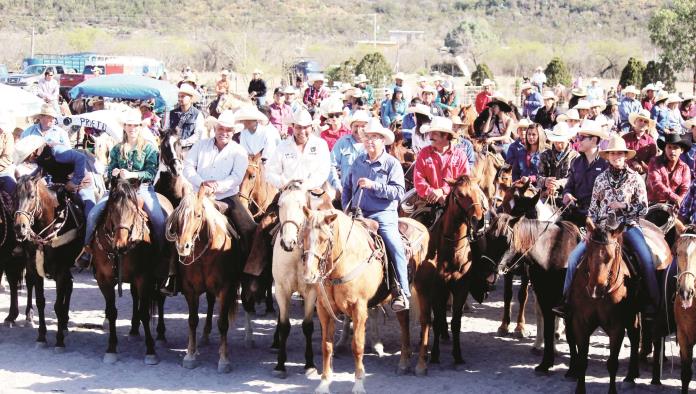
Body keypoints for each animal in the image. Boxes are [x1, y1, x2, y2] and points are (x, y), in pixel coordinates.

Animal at [13, 171, 83, 350]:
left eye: (31, 196)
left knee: (68, 288)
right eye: (16, 196)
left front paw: (59, 340)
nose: (20, 227)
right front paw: (41, 336)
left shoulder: (61, 270)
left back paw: (63, 326)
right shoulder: (35, 269)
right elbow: (40, 302)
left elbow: (57, 305)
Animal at [91, 180, 163, 364]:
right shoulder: (104, 279)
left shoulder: (144, 277)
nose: (121, 244)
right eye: (111, 209)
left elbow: (145, 312)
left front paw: (150, 351)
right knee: (135, 296)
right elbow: (111, 312)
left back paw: (161, 333)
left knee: (159, 299)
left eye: (134, 210)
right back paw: (134, 330)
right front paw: (111, 348)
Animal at [164, 188, 241, 372]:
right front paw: (190, 355)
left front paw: (224, 359)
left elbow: (223, 323)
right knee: (210, 302)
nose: (183, 247)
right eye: (178, 216)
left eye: (198, 215)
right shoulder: (190, 289)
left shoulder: (226, 289)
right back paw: (205, 335)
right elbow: (192, 321)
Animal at [300, 208, 426, 392]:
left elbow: (357, 346)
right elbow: (326, 346)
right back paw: (404, 362)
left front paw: (359, 383)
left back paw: (420, 365)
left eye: (324, 238)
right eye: (303, 235)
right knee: (404, 322)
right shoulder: (324, 309)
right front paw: (324, 383)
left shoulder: (359, 308)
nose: (309, 276)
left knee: (425, 322)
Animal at [568, 222, 640, 394]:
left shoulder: (617, 327)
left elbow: (612, 363)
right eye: (588, 252)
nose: (595, 289)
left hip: (632, 317)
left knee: (635, 336)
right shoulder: (580, 323)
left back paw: (630, 377)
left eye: (611, 256)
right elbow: (582, 361)